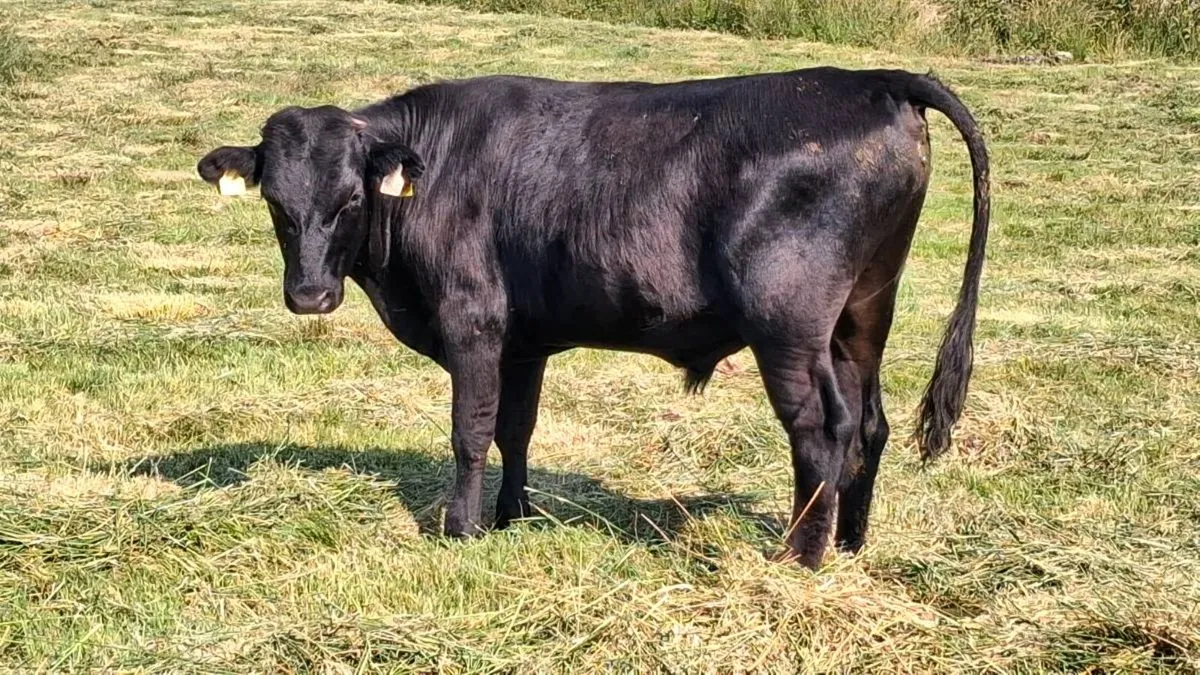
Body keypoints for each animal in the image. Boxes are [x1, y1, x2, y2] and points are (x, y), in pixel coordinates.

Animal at [197, 66, 989, 569]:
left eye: (351, 199)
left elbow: (469, 432)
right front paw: (512, 515)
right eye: (277, 203)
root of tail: (872, 78)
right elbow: (515, 429)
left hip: (789, 325)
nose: (309, 297)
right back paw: (850, 544)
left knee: (822, 430)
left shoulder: (473, 321)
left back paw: (799, 558)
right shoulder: (523, 342)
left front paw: (460, 529)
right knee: (869, 423)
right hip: (862, 312)